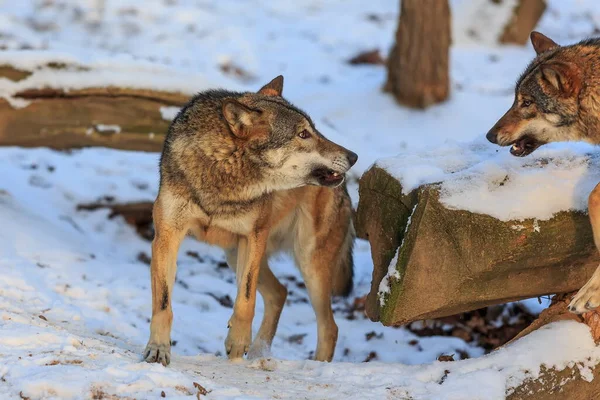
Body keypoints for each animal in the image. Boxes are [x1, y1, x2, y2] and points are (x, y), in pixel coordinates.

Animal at [143, 75, 358, 366]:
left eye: (314, 129)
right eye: (303, 134)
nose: (353, 157)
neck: (223, 174)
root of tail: (346, 189)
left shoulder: (254, 237)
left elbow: (245, 299)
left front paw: (237, 343)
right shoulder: (167, 237)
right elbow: (164, 303)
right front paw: (158, 349)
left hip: (309, 263)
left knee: (329, 327)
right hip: (235, 255)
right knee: (281, 293)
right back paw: (258, 354)